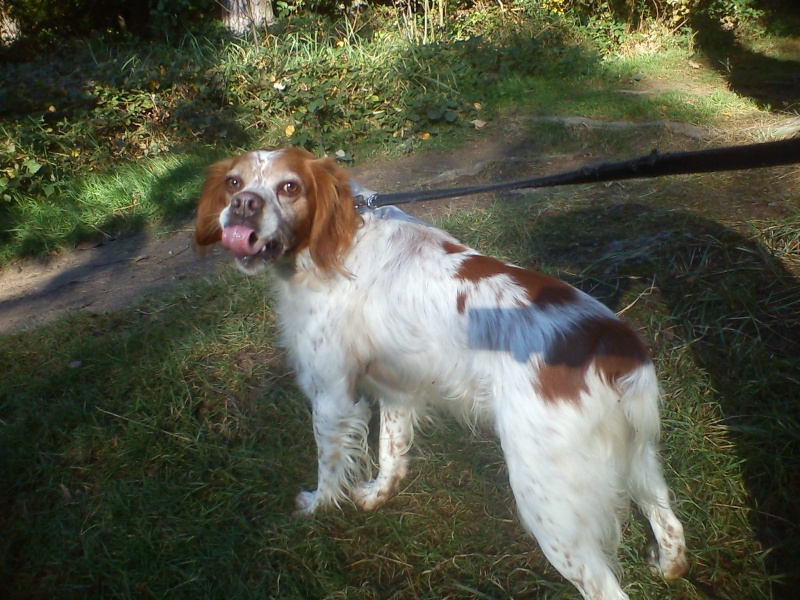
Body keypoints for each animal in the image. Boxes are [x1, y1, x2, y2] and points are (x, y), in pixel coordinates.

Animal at [194, 146, 688, 600]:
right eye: (235, 183)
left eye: (290, 187)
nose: (243, 205)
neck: (336, 241)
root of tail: (611, 341)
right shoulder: (395, 385)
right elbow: (391, 451)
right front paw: (377, 494)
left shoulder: (331, 396)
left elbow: (329, 466)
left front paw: (317, 508)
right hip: (637, 455)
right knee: (670, 522)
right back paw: (668, 566)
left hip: (548, 501)